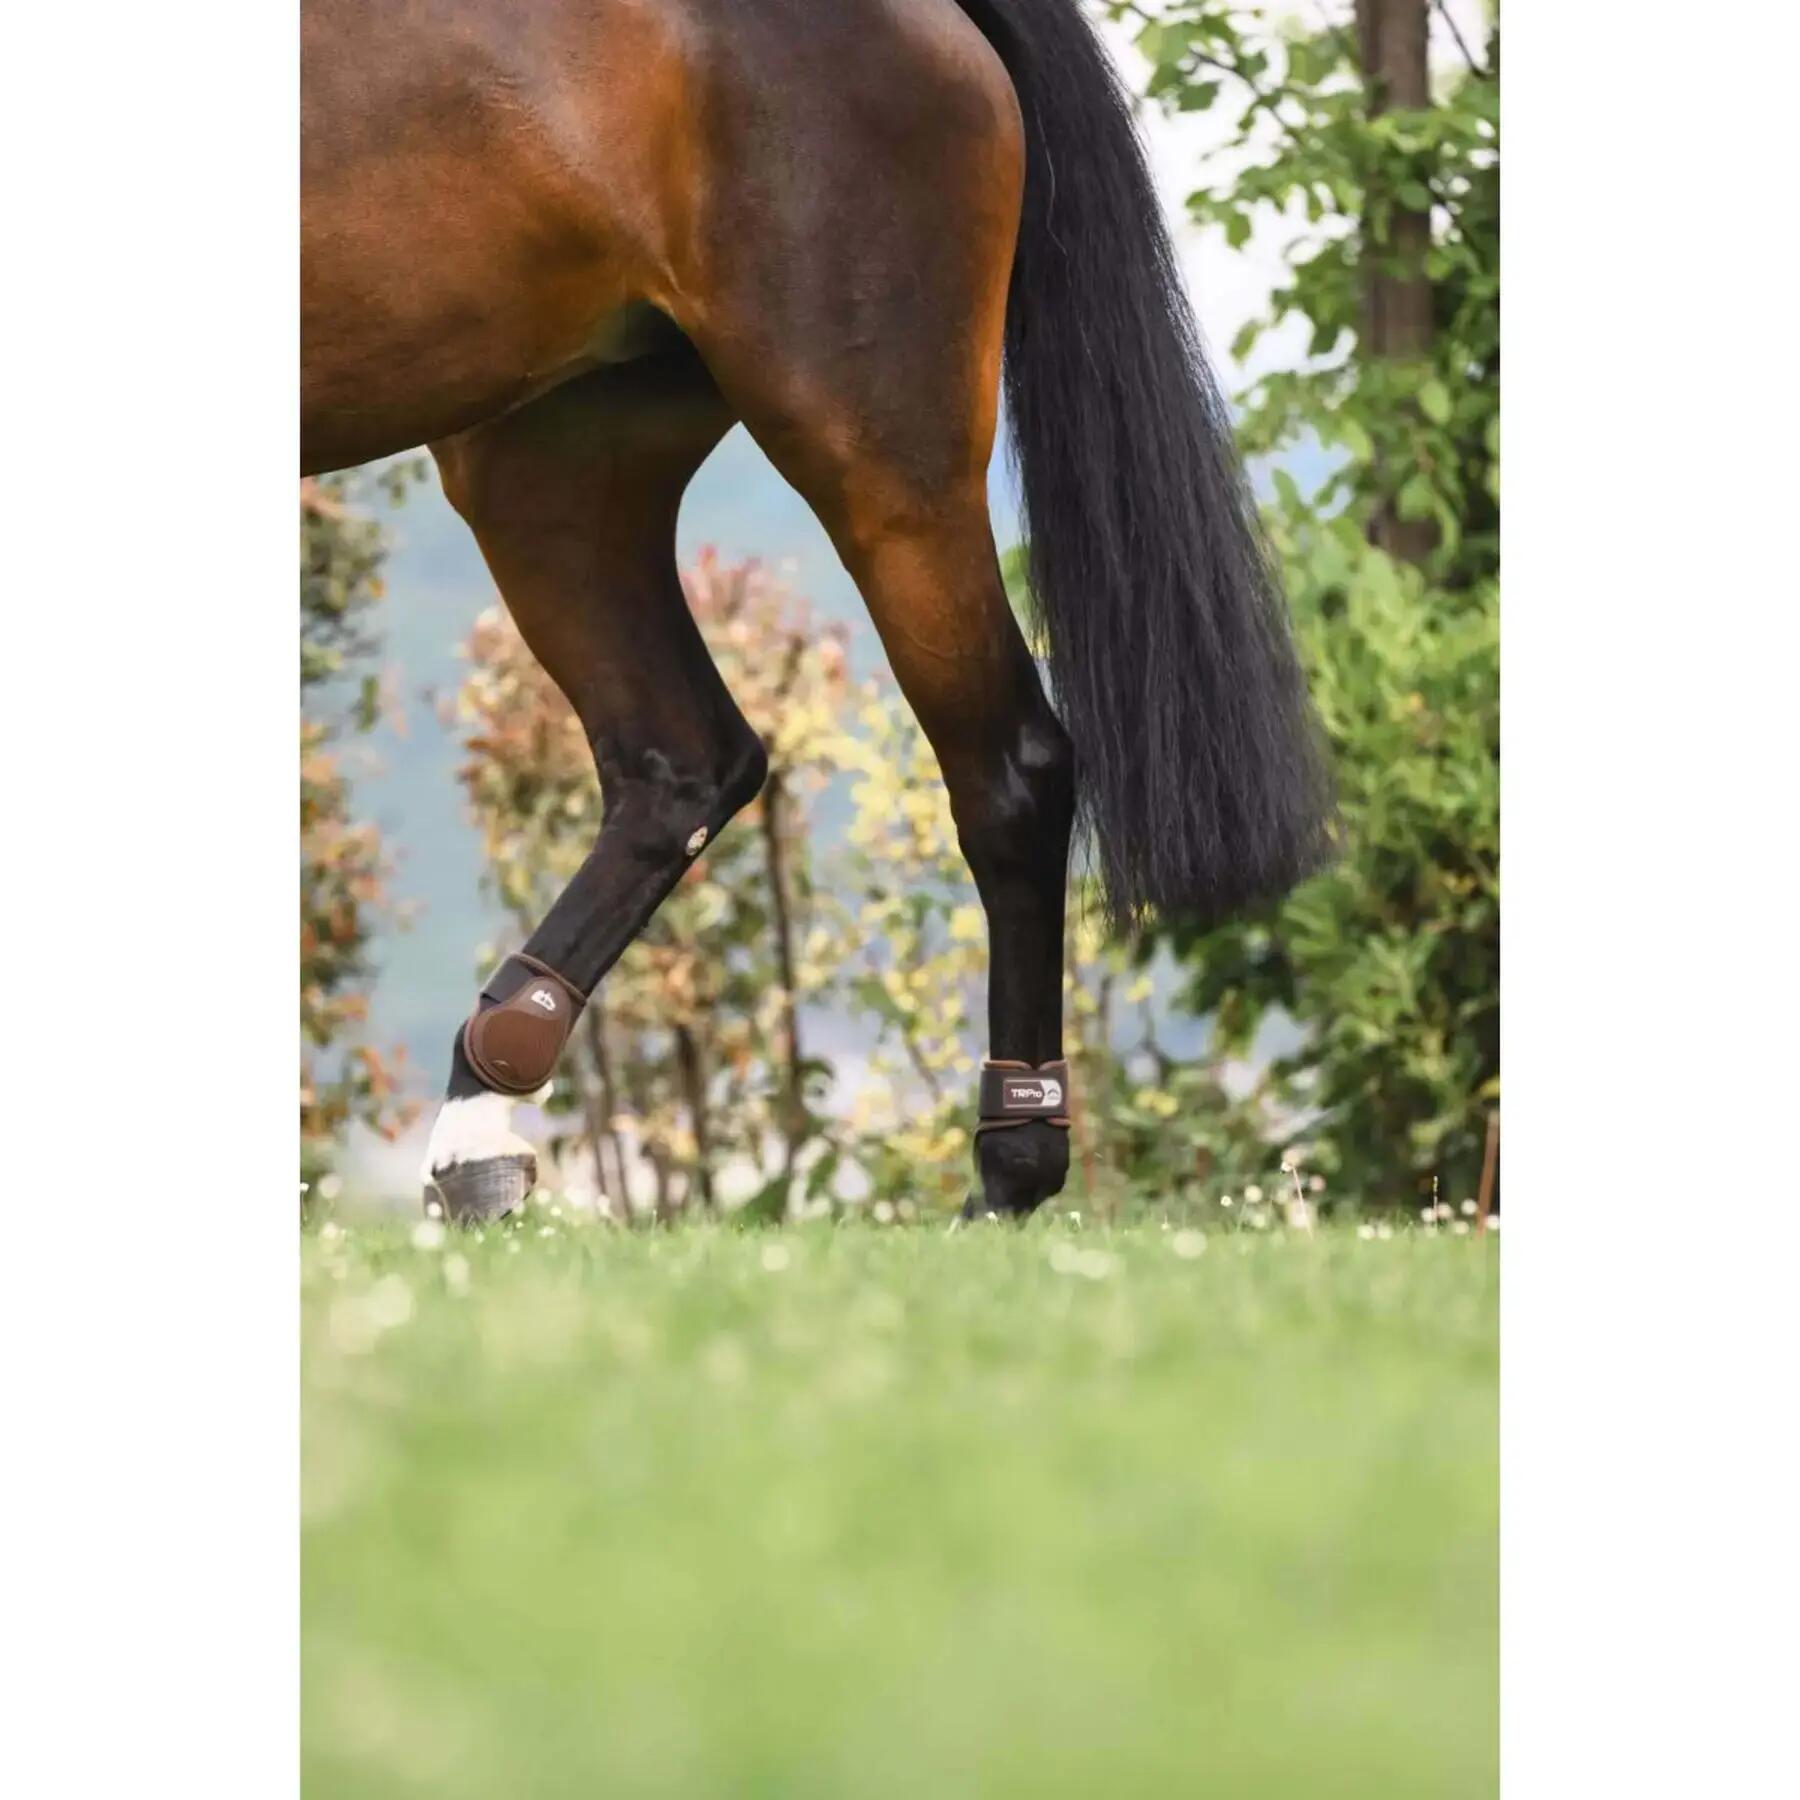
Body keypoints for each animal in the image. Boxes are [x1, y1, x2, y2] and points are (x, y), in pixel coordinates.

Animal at [301, 0, 1332, 1223]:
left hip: (879, 461)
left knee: (1009, 769)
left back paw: (1009, 1169)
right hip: (550, 462)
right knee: (682, 762)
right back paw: (478, 1138)